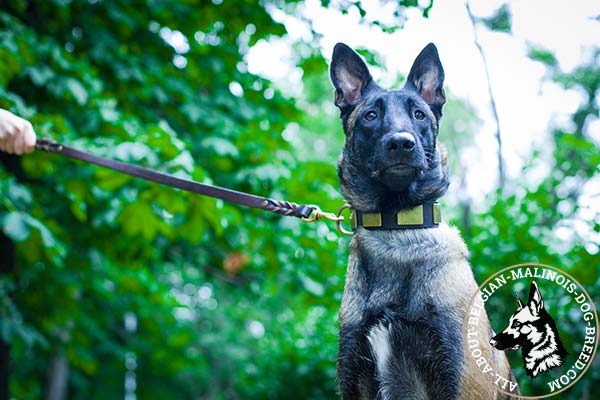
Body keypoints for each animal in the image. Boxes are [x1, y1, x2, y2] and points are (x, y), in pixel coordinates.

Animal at [330, 43, 516, 400]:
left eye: (419, 115)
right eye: (371, 116)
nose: (401, 143)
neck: (396, 228)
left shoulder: (461, 381)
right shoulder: (354, 377)